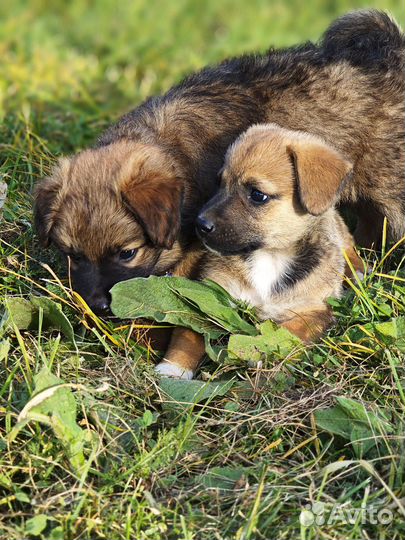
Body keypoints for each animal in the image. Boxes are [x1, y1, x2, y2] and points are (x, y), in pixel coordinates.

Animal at [156, 125, 362, 380]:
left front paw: (259, 349)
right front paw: (173, 367)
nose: (200, 224)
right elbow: (187, 335)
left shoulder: (313, 311)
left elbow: (288, 331)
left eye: (257, 195)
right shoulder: (209, 295)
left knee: (348, 243)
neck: (271, 256)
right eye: (219, 183)